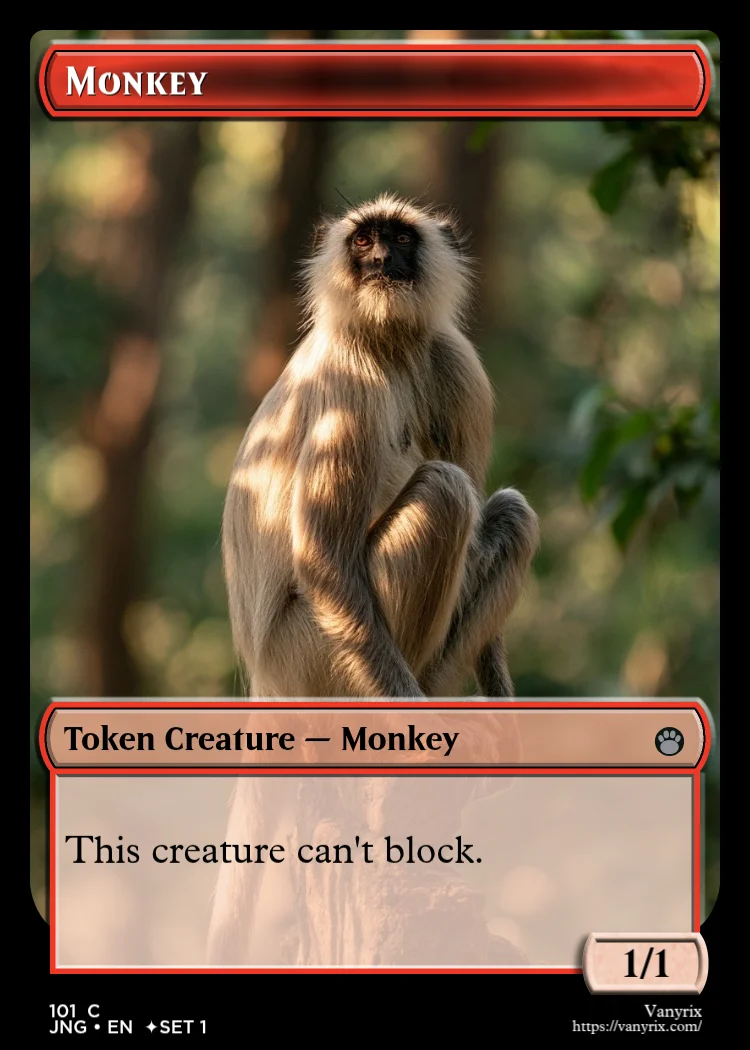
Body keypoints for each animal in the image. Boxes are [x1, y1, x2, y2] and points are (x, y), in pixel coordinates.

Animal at [208, 194, 539, 963]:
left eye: (398, 240)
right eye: (363, 243)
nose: (382, 261)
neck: (388, 344)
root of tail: (264, 680)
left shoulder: (454, 362)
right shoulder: (348, 382)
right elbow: (325, 557)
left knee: (506, 514)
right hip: (316, 660)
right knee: (447, 493)